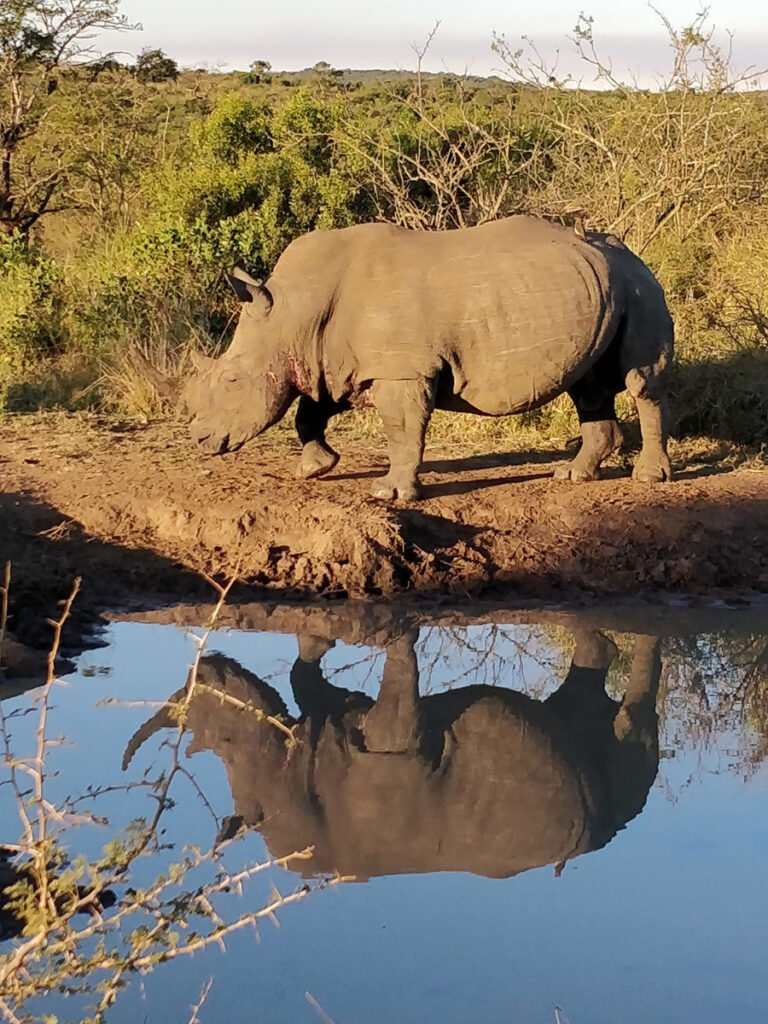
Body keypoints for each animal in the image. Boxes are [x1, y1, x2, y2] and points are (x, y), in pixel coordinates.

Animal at [124, 626, 661, 881]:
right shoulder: (332, 724)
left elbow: (394, 679)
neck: (276, 778)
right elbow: (304, 676)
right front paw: (319, 639)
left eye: (227, 740)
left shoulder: (395, 742)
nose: (207, 665)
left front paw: (393, 635)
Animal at [184, 215, 674, 500]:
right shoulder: (337, 363)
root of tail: (633, 253)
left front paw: (388, 494)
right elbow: (309, 412)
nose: (200, 440)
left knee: (639, 380)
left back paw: (648, 479)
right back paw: (572, 476)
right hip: (599, 290)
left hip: (637, 286)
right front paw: (314, 468)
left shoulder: (401, 369)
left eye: (231, 380)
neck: (292, 314)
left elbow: (402, 432)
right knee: (588, 386)